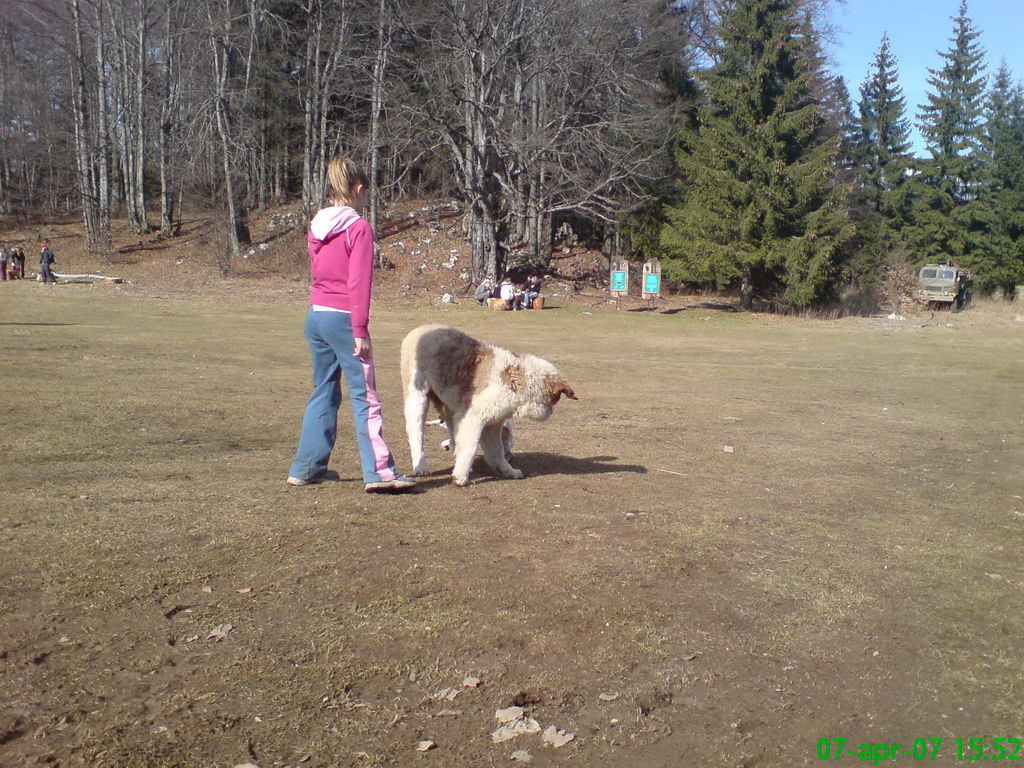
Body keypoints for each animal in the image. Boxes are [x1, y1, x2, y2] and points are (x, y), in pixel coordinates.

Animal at [399, 325, 577, 487]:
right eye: (556, 398)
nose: (552, 411)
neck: (517, 381)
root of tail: (418, 330)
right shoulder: (474, 418)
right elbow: (471, 448)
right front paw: (460, 477)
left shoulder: (493, 424)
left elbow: (497, 452)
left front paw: (507, 471)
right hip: (417, 398)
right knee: (416, 434)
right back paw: (422, 466)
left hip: (450, 408)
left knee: (453, 434)